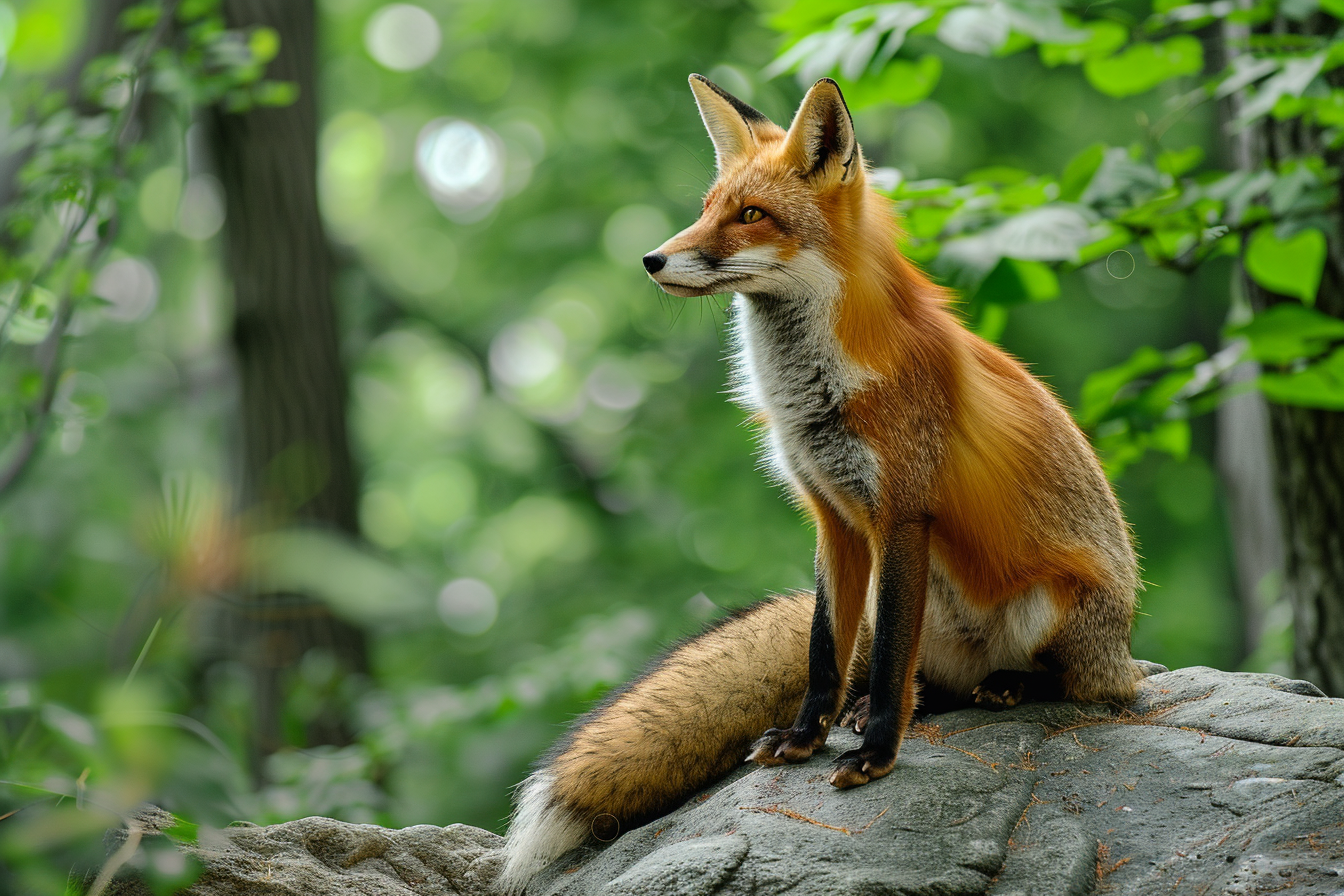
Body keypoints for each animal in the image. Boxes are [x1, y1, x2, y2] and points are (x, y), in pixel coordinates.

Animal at [497, 75, 1146, 894]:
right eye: (707, 206)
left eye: (751, 215)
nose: (650, 259)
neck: (813, 394)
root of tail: (1123, 646)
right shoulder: (832, 517)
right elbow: (819, 650)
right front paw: (808, 737)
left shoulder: (902, 514)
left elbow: (888, 647)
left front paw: (875, 757)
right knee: (917, 679)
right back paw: (902, 703)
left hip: (1050, 610)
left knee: (1087, 687)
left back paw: (1008, 688)